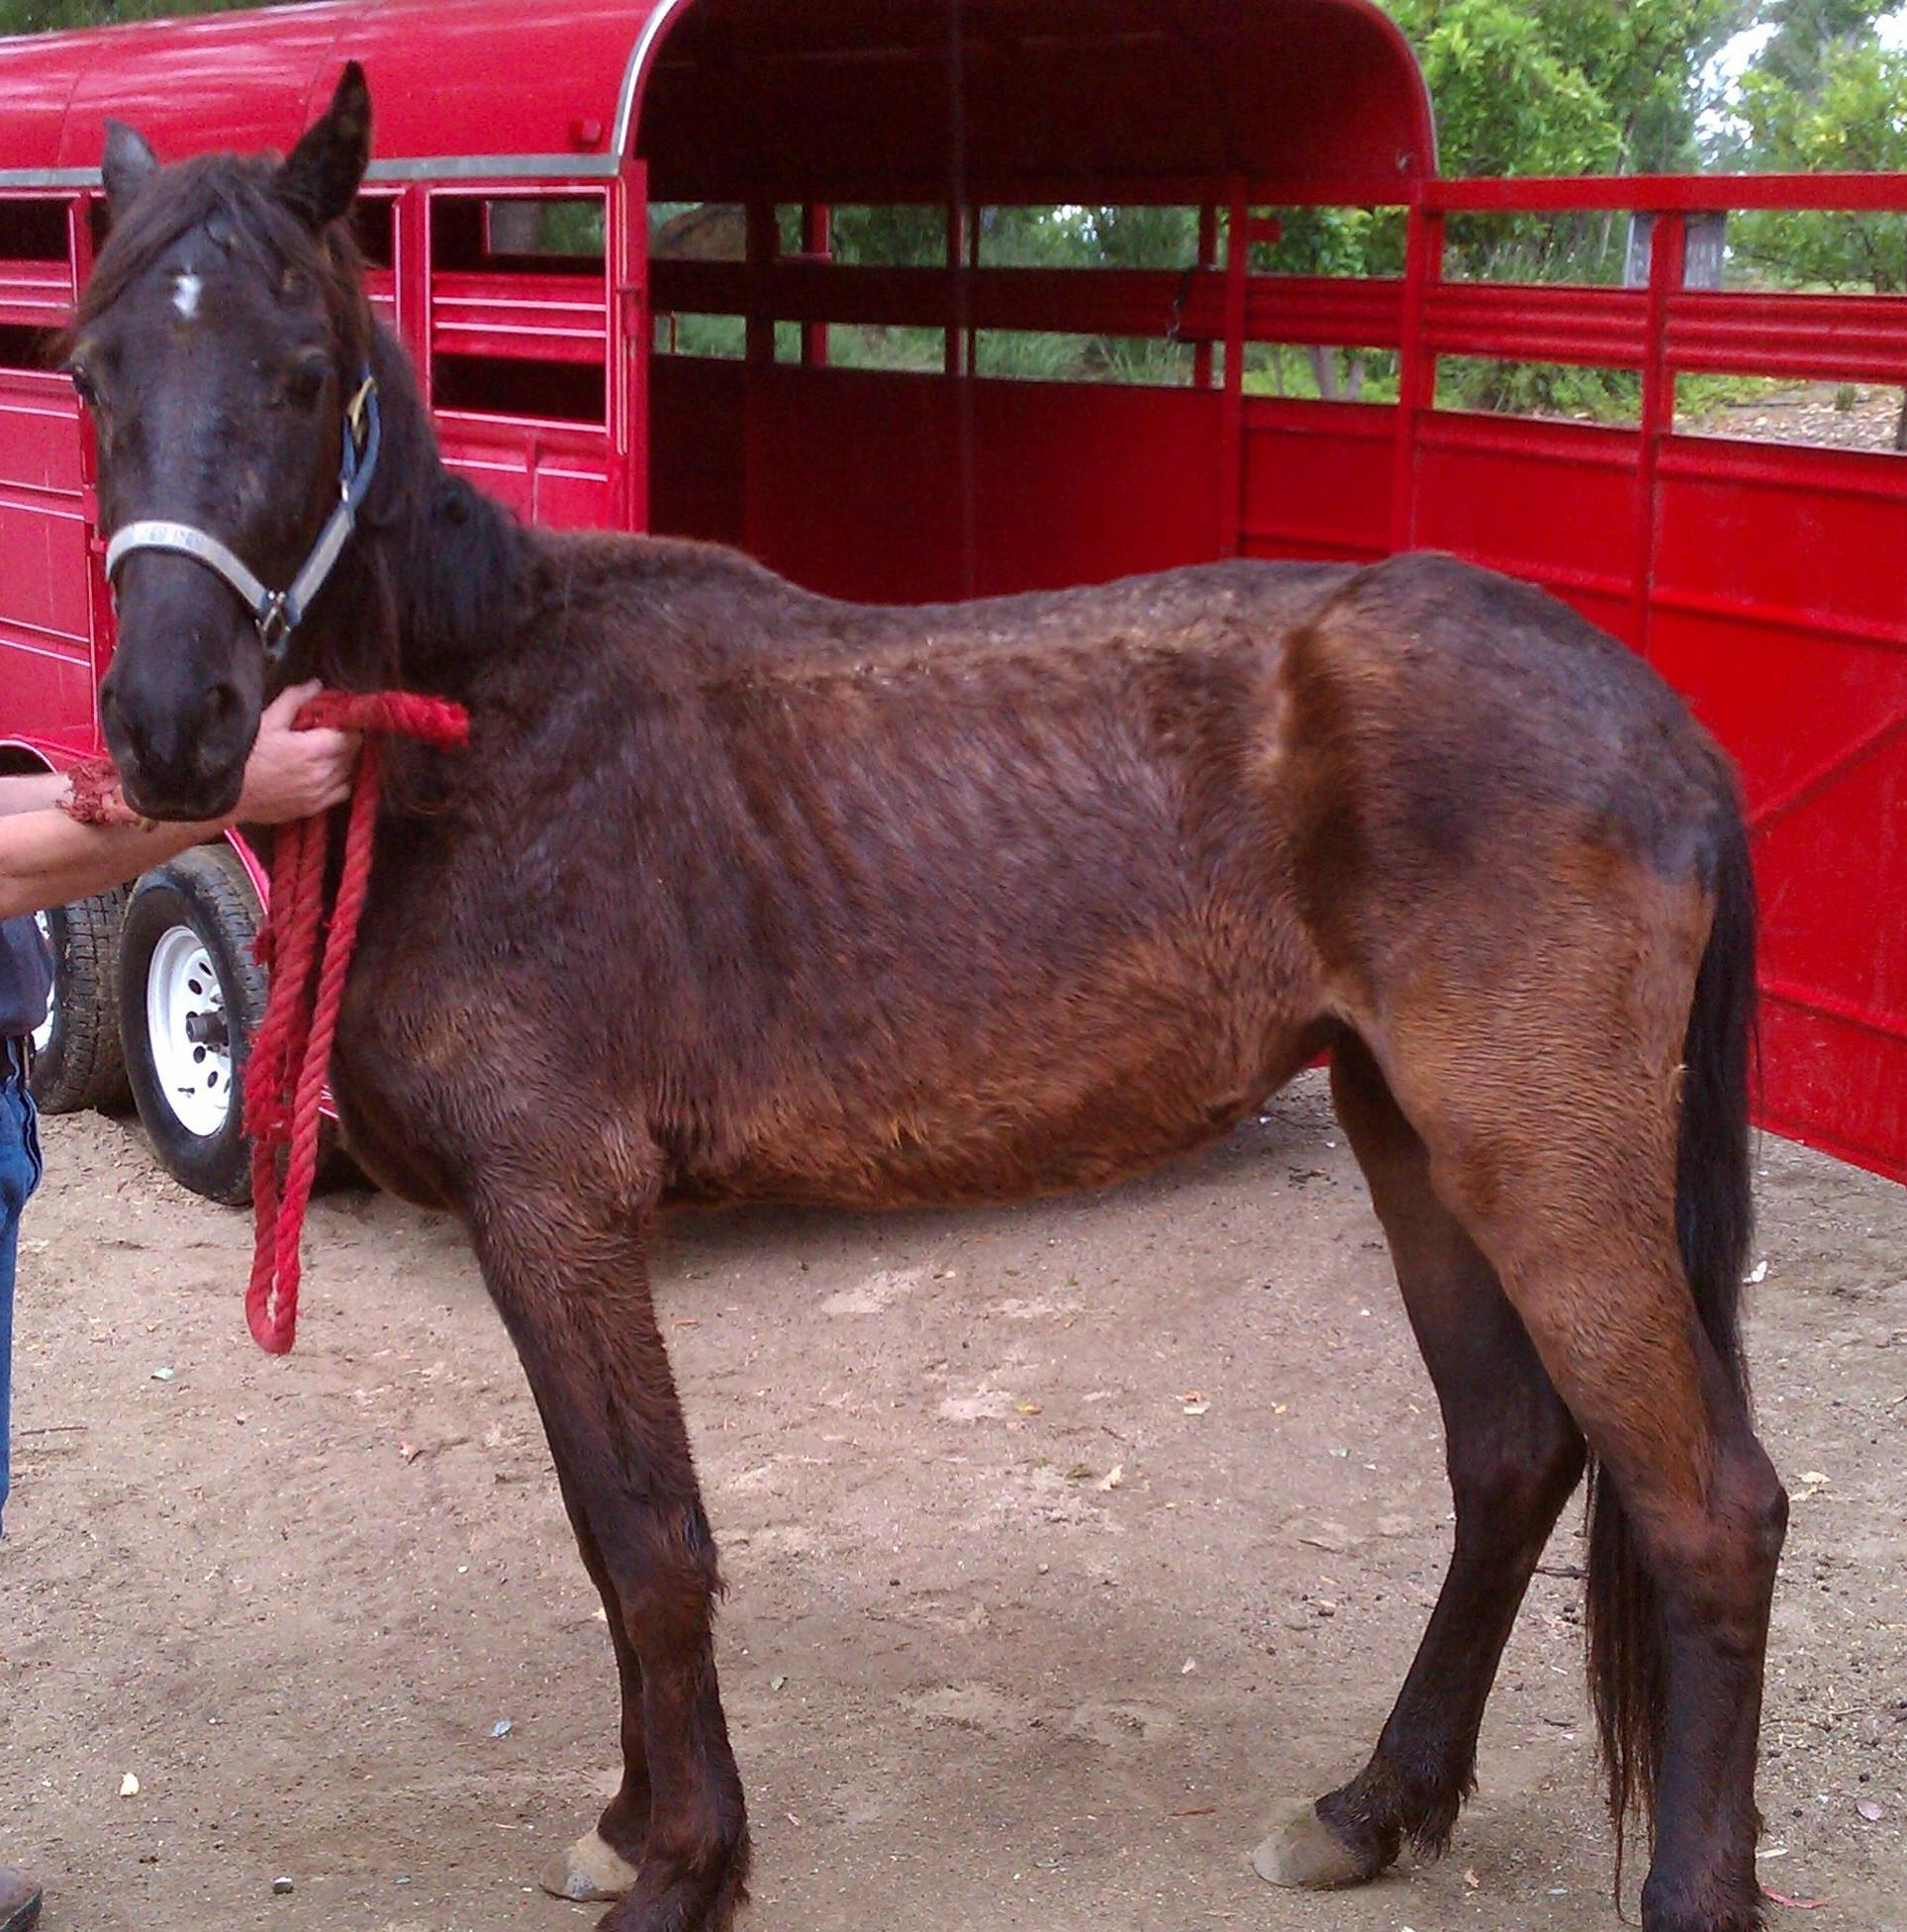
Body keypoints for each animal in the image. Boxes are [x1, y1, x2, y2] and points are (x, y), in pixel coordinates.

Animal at [70, 67, 1792, 1932]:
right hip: (1407, 1133)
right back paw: (1371, 1805)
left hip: (1540, 1164)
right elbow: (612, 1541)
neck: (488, 727)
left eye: (302, 371)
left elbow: (647, 1541)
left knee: (1706, 1507)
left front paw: (682, 1865)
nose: (168, 725)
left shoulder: (558, 1206)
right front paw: (631, 1822)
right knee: (1506, 1455)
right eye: (88, 374)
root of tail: (1658, 724)